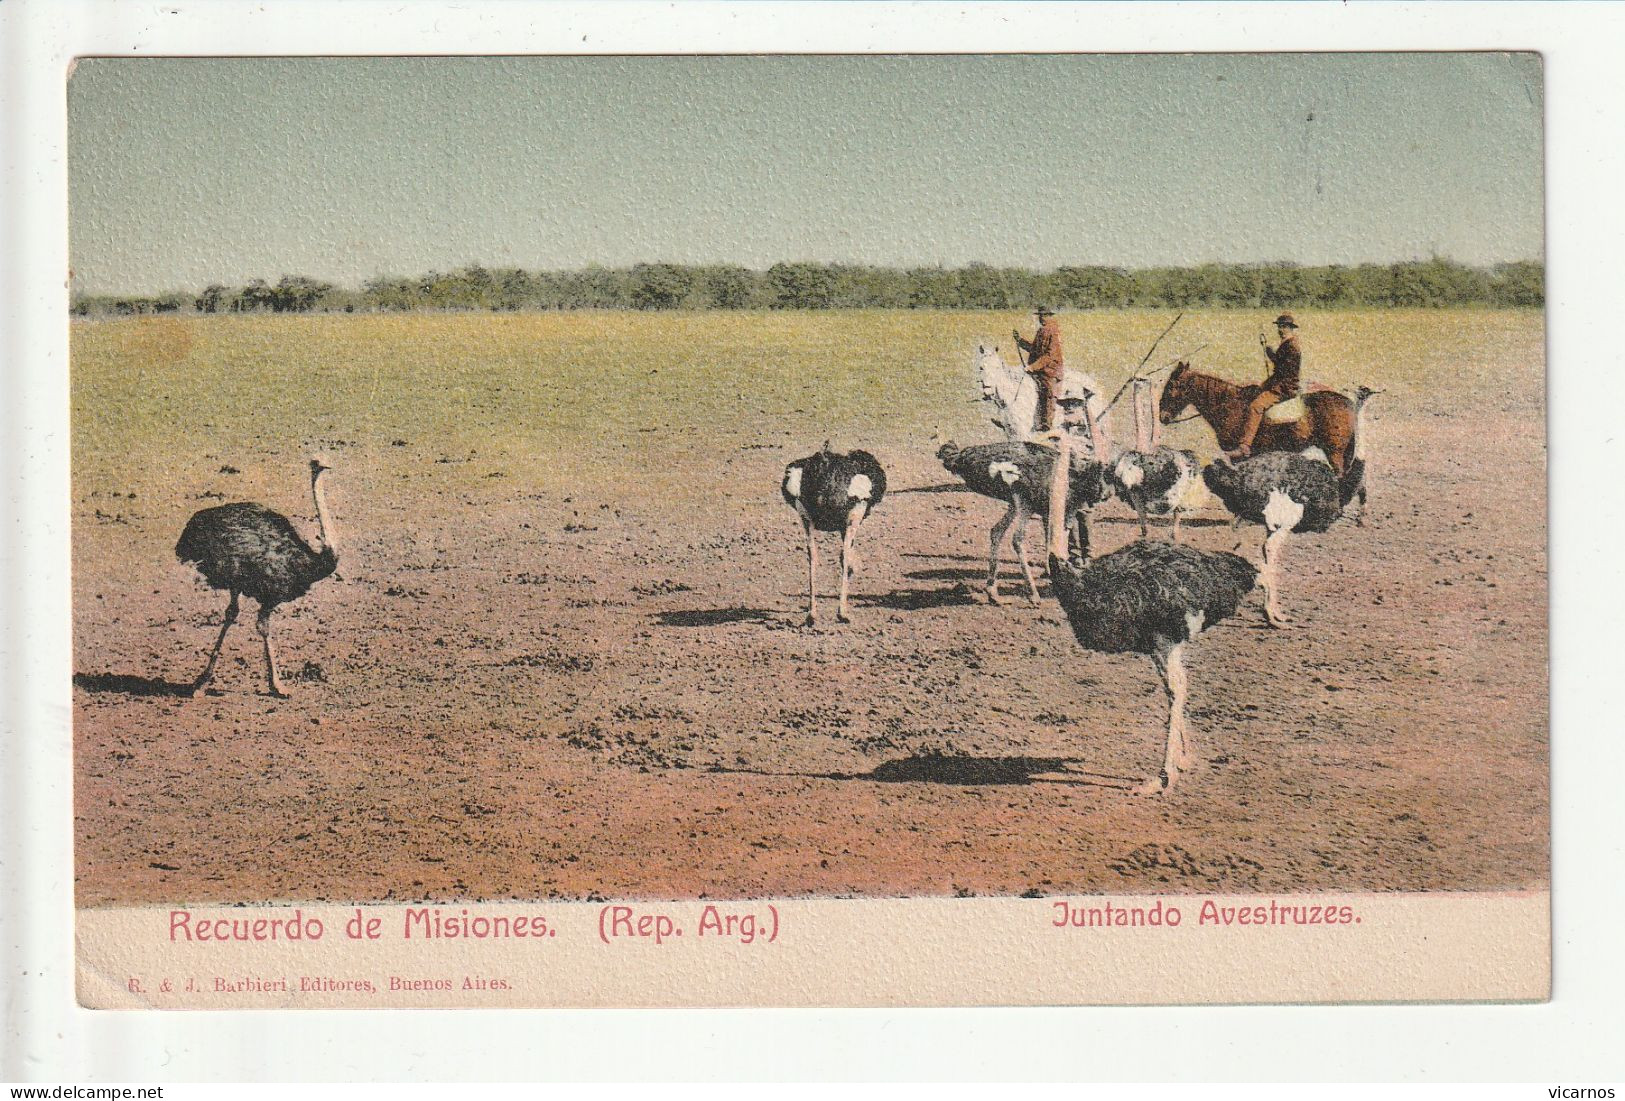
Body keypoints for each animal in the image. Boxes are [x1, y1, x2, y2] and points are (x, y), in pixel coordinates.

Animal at [1163, 362, 1365, 477]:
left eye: (1171, 385)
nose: (1162, 416)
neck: (1230, 404)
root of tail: (1348, 402)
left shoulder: (1240, 457)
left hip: (1334, 451)